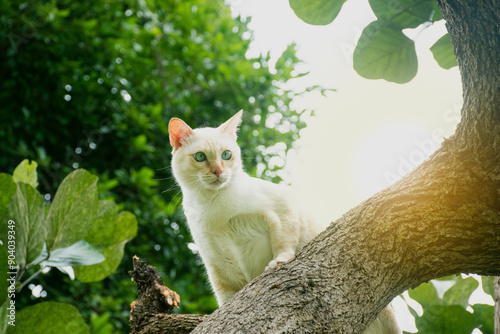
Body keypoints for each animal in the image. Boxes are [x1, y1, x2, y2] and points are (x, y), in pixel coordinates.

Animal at [168, 111, 398, 332]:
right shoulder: (215, 260)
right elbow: (224, 297)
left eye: (226, 154)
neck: (211, 205)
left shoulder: (281, 208)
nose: (218, 172)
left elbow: (282, 241)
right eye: (200, 157)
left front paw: (279, 262)